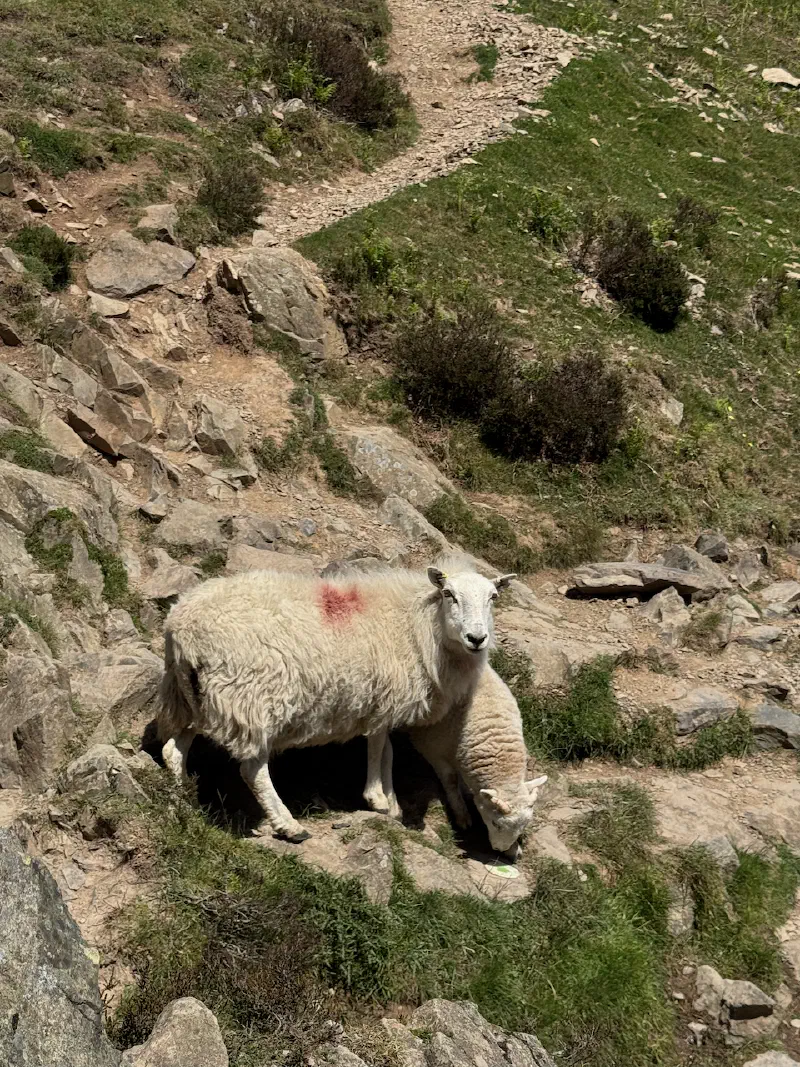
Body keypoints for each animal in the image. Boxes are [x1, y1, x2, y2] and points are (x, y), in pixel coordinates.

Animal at [157, 561, 514, 842]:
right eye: (449, 594)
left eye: (493, 598)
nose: (477, 639)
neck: (417, 626)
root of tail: (182, 626)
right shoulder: (384, 696)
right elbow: (379, 747)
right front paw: (378, 799)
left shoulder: (380, 702)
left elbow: (387, 750)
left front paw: (391, 804)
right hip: (253, 697)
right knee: (252, 768)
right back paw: (288, 825)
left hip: (192, 697)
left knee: (173, 750)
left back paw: (181, 802)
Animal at [408, 664, 547, 858]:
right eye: (495, 823)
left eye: (523, 826)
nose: (499, 850)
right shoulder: (432, 749)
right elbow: (450, 781)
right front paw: (461, 815)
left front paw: (514, 849)